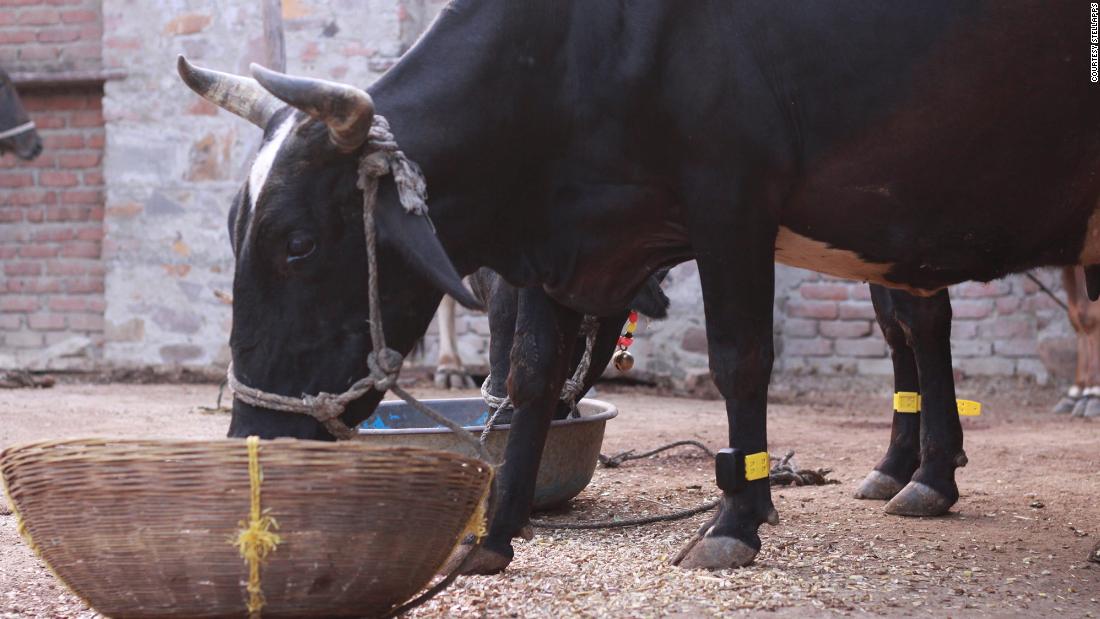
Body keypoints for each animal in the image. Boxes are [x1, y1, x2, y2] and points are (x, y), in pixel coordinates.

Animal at [180, 1, 1100, 571]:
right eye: (232, 227)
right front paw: (497, 532)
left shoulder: (732, 198)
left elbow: (741, 358)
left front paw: (738, 518)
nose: (253, 434)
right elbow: (533, 375)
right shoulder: (557, 249)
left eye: (298, 242)